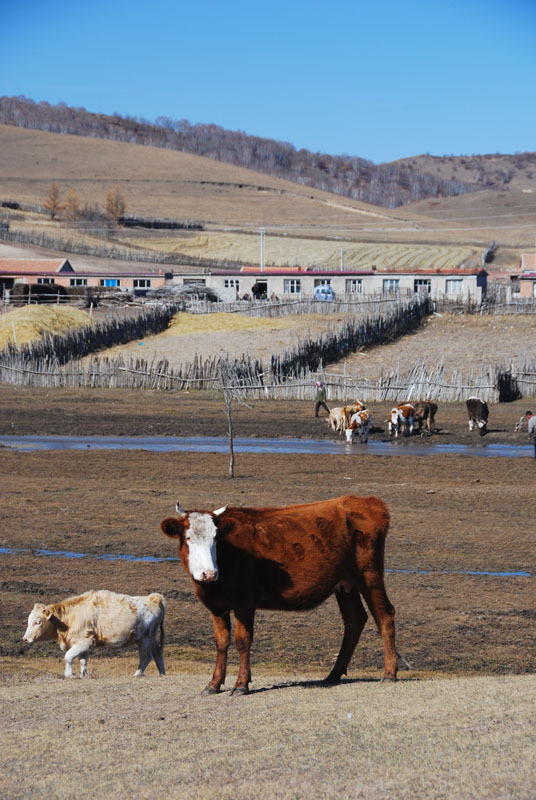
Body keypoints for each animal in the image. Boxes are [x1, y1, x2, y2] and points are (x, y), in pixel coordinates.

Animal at [23, 588, 165, 676]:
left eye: (38, 622)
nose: (25, 638)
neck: (69, 617)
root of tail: (153, 599)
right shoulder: (83, 646)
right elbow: (83, 661)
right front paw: (83, 675)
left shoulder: (83, 643)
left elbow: (68, 657)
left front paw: (69, 674)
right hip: (152, 639)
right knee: (157, 654)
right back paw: (162, 674)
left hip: (145, 640)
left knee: (146, 657)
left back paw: (137, 674)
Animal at [161, 494, 396, 692]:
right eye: (188, 538)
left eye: (216, 539)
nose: (209, 573)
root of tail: (366, 501)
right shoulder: (216, 606)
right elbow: (221, 642)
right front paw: (214, 684)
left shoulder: (245, 601)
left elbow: (242, 640)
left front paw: (241, 684)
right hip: (345, 585)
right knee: (354, 620)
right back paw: (333, 674)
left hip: (370, 576)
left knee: (385, 615)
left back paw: (390, 673)